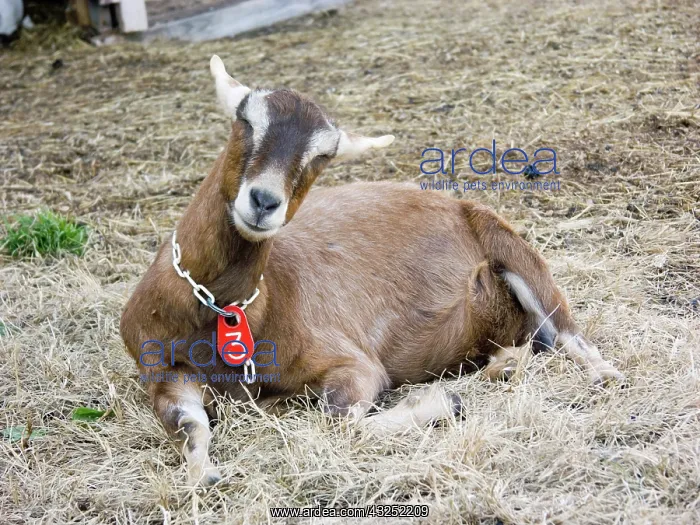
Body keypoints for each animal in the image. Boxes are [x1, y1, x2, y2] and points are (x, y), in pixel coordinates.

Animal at [120, 55, 624, 486]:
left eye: (322, 157)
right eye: (246, 122)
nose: (263, 202)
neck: (224, 315)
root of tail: (454, 205)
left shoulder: (352, 363)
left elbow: (341, 423)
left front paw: (443, 402)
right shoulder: (162, 371)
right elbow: (187, 423)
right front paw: (203, 474)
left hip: (513, 251)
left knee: (568, 335)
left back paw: (589, 373)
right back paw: (504, 364)